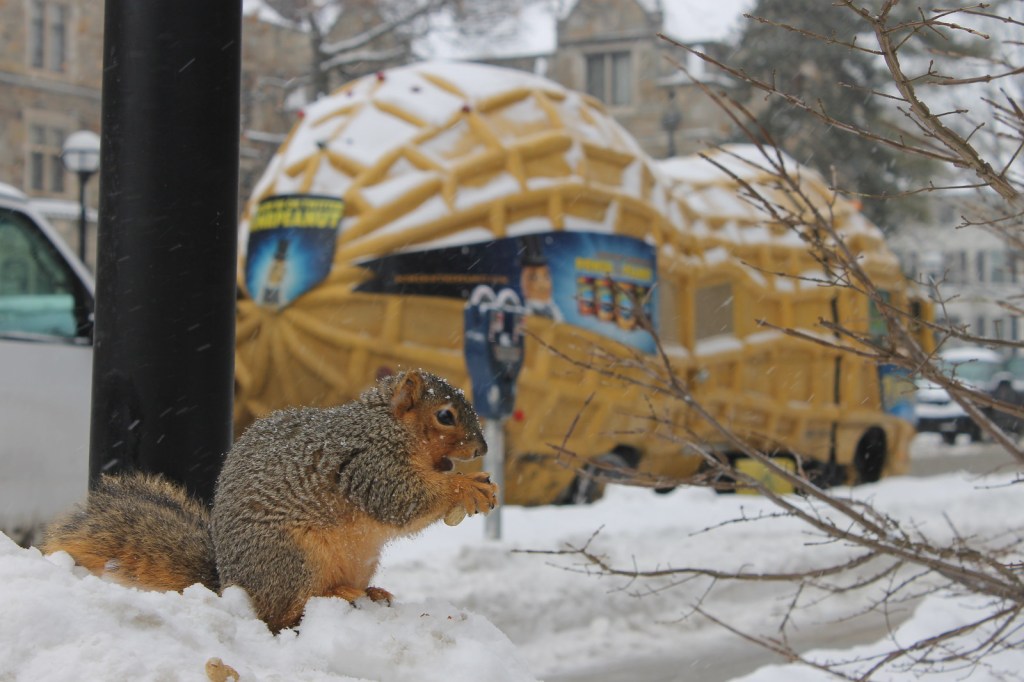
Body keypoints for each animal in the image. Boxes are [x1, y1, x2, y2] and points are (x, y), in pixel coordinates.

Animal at [41, 370, 497, 632]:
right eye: (445, 416)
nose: (483, 448)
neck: (385, 426)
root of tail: (230, 583)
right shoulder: (367, 464)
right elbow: (401, 499)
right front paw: (467, 487)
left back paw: (372, 591)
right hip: (293, 559)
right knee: (281, 615)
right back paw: (334, 595)